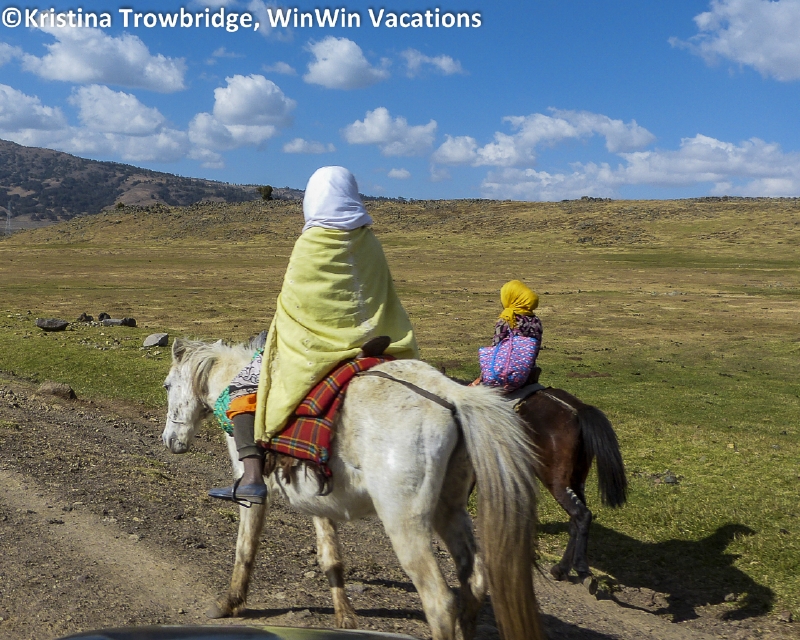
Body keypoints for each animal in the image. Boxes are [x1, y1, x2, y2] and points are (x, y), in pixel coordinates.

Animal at [161, 337, 543, 640]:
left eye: (166, 385)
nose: (170, 441)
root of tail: (450, 394)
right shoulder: (315, 494)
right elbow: (330, 554)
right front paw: (345, 615)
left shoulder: (251, 492)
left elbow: (245, 548)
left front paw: (230, 602)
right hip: (448, 509)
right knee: (473, 582)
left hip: (405, 522)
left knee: (439, 602)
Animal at [512, 385, 627, 593]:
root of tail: (578, 410)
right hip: (576, 479)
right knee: (577, 520)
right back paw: (563, 569)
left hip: (555, 480)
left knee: (581, 515)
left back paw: (581, 568)